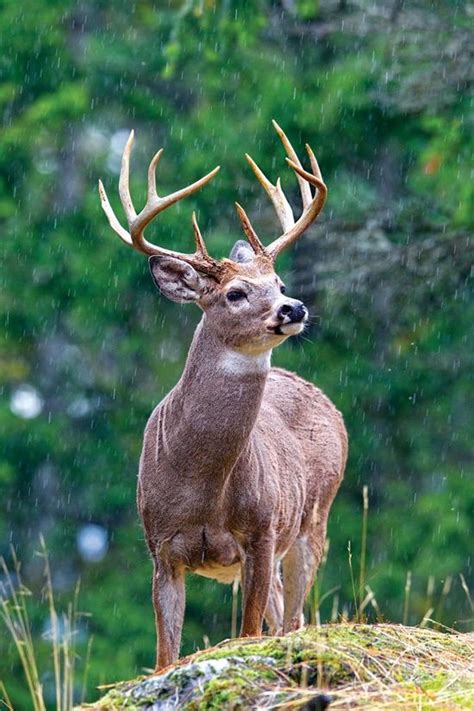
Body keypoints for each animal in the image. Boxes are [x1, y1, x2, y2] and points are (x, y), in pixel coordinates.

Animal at [98, 122, 348, 672]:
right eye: (235, 294)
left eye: (278, 281)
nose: (293, 307)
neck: (201, 486)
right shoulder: (160, 547)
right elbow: (165, 654)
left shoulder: (261, 533)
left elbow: (251, 632)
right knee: (284, 611)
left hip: (313, 516)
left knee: (294, 617)